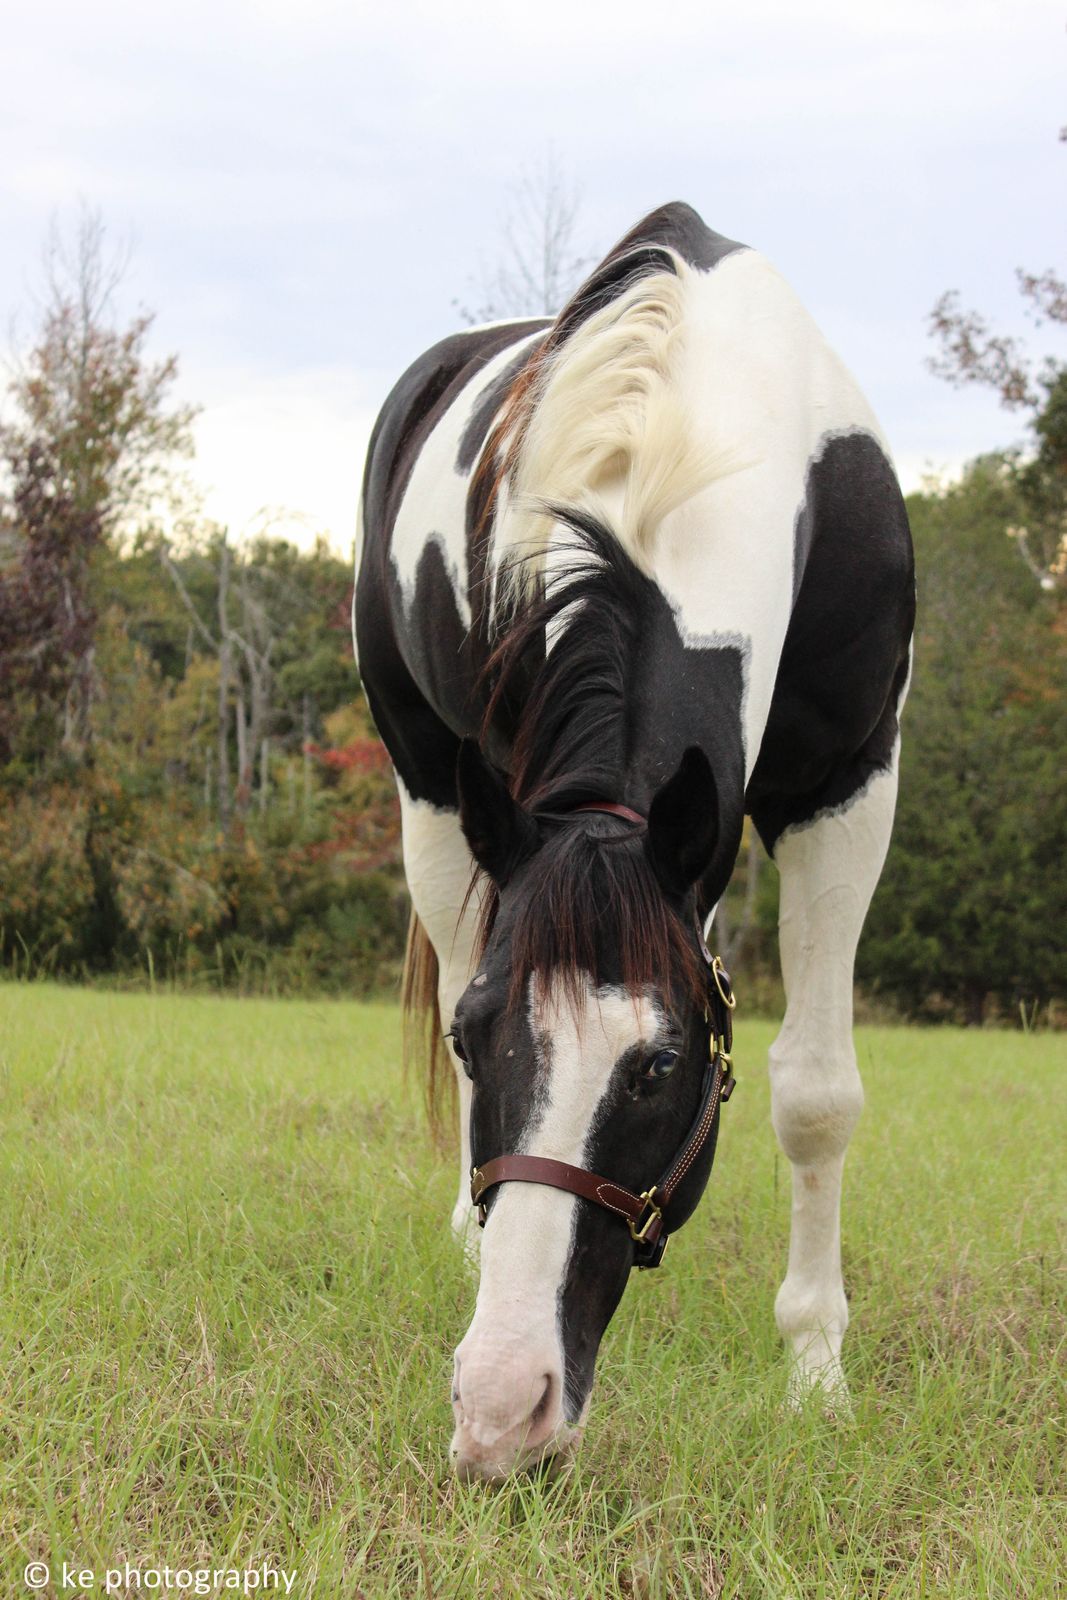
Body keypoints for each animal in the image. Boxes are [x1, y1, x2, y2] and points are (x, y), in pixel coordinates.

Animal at [353, 201, 914, 1482]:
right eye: (469, 1047)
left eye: (657, 1066)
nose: (499, 1408)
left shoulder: (850, 784)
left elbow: (816, 1093)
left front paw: (815, 1371)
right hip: (428, 784)